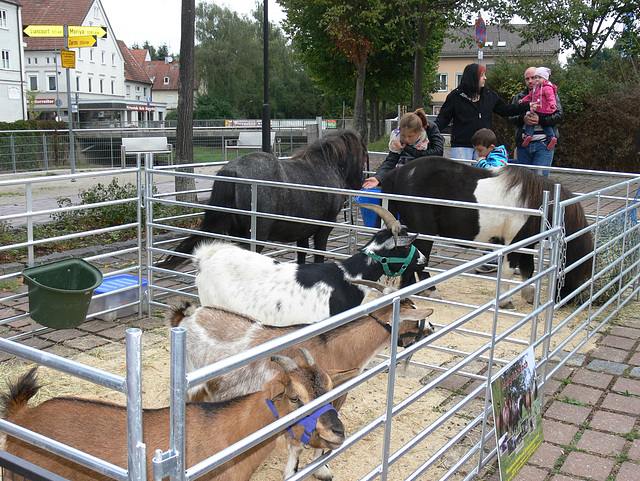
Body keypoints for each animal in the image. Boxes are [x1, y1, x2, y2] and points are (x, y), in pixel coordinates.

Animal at [158, 129, 368, 268]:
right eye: (364, 155)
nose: (361, 183)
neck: (326, 166)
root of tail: (233, 170)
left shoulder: (302, 232)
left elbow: (302, 257)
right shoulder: (322, 231)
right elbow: (318, 256)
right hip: (255, 238)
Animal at [168, 294, 436, 478]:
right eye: (417, 319)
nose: (433, 330)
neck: (335, 349)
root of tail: (189, 315)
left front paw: (321, 469)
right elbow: (297, 447)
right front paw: (294, 472)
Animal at [380, 158, 596, 308]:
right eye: (578, 270)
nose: (567, 301)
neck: (538, 204)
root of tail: (399, 173)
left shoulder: (527, 243)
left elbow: (528, 270)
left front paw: (528, 295)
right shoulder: (513, 243)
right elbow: (509, 272)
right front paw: (506, 301)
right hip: (425, 233)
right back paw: (427, 292)